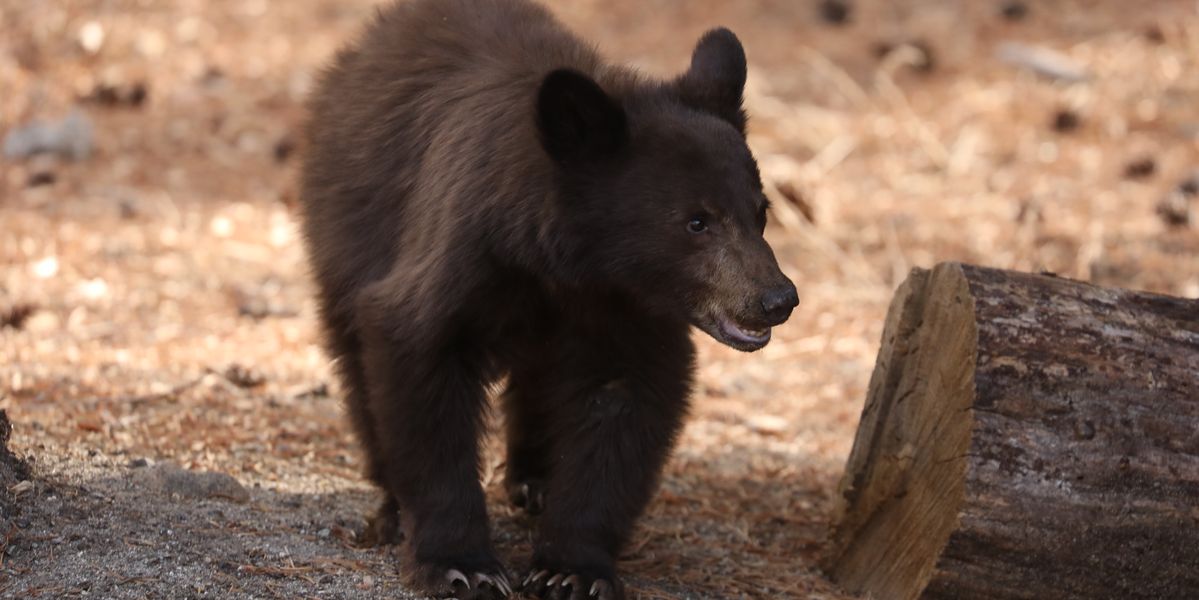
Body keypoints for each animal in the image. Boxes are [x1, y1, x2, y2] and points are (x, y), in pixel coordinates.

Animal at [299, 0, 800, 597]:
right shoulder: (464, 256)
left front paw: (571, 569)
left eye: (760, 213)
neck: (567, 269)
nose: (777, 299)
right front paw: (459, 562)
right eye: (696, 222)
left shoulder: (627, 311)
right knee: (357, 363)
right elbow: (418, 359)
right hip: (345, 236)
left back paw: (534, 479)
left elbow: (624, 410)